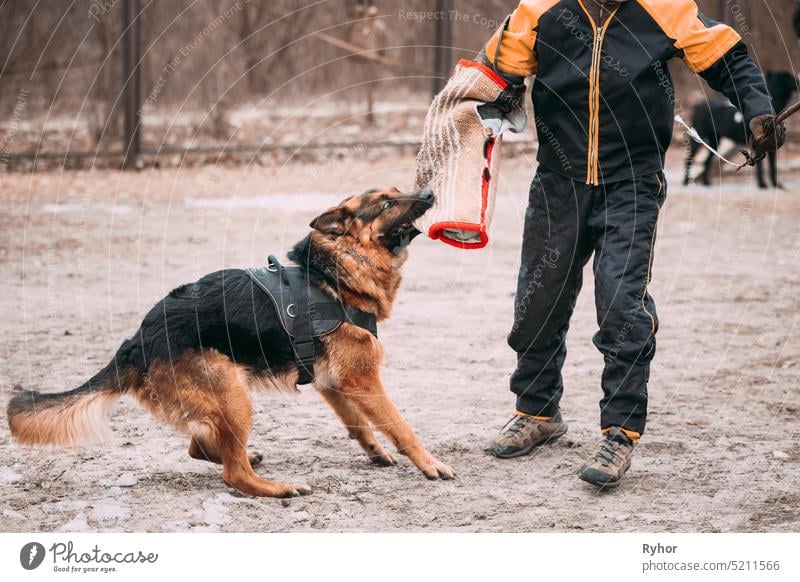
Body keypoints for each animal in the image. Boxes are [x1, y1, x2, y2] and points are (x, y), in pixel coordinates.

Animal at [6, 187, 454, 498]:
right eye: (386, 203)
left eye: (397, 191)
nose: (429, 194)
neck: (333, 272)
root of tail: (139, 339)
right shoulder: (364, 381)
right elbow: (399, 424)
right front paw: (430, 464)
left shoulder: (333, 383)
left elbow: (358, 423)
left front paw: (376, 453)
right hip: (234, 395)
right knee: (232, 473)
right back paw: (277, 487)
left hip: (222, 400)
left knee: (199, 446)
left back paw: (241, 454)